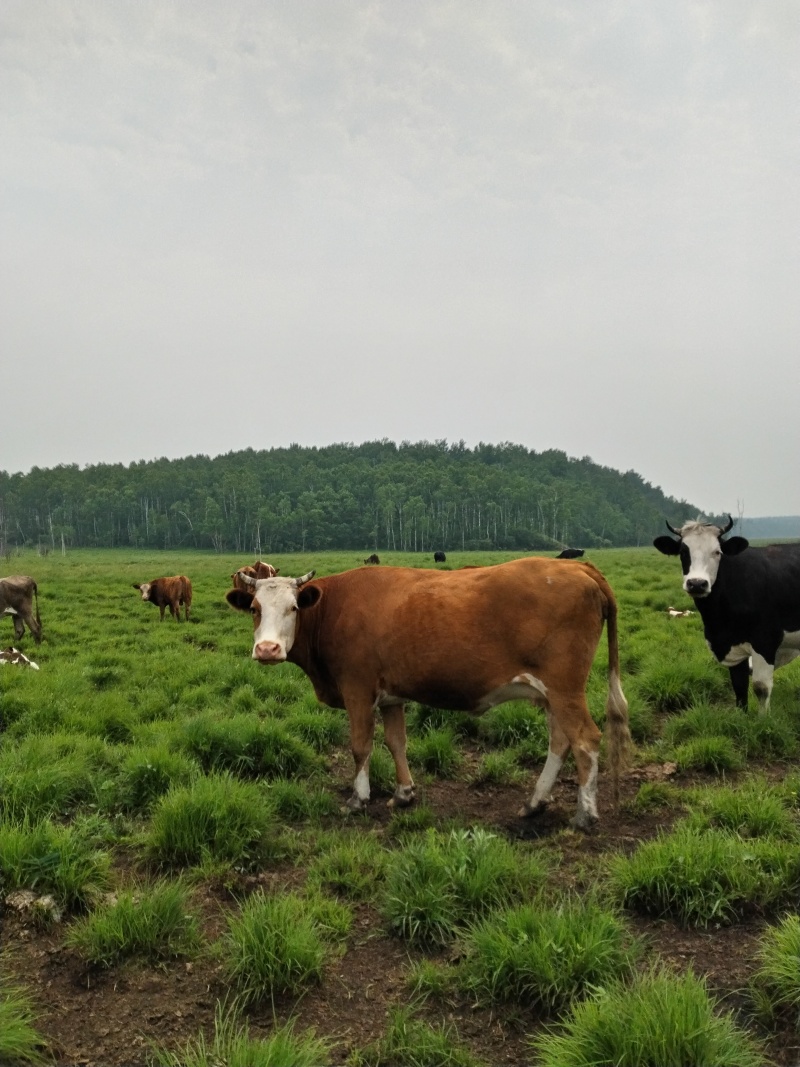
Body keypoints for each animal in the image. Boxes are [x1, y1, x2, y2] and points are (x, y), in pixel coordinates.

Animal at [228, 559, 635, 832]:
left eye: (293, 607)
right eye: (255, 609)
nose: (267, 649)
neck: (333, 609)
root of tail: (576, 565)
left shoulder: (357, 690)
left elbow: (360, 746)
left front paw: (359, 799)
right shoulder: (391, 696)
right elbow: (396, 742)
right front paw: (403, 793)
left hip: (565, 689)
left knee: (585, 739)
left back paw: (585, 814)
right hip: (552, 694)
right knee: (561, 741)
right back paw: (535, 803)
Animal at [652, 514, 800, 712]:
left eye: (717, 552)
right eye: (683, 551)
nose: (697, 584)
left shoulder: (765, 641)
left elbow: (761, 687)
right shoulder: (732, 647)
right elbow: (739, 687)